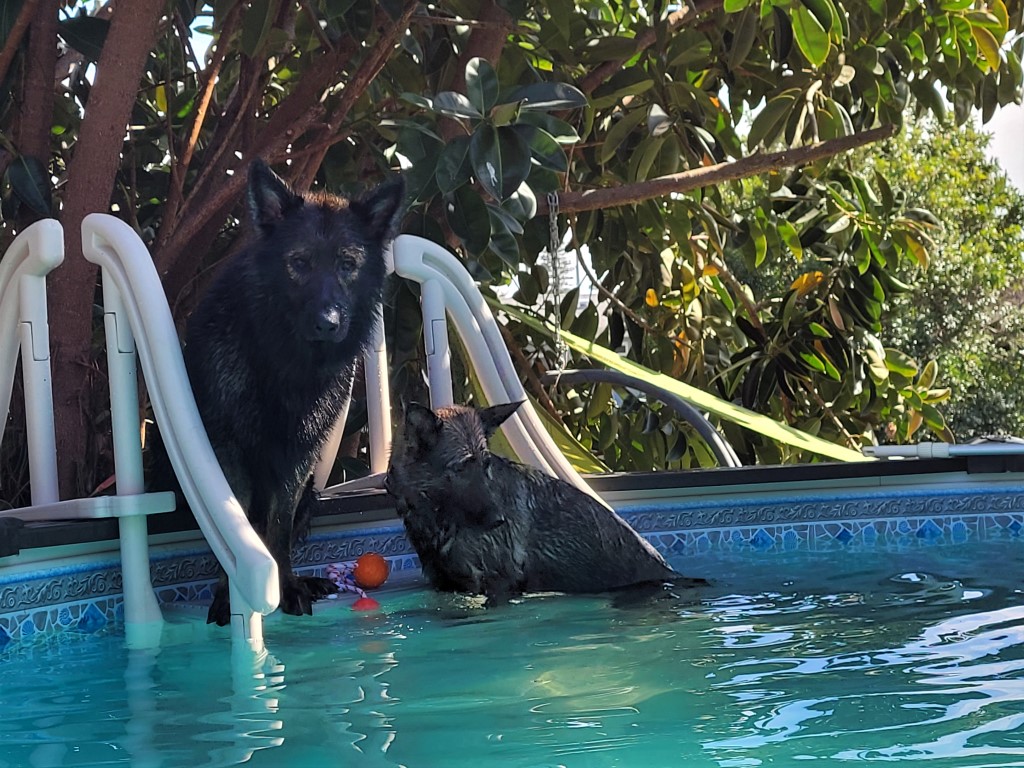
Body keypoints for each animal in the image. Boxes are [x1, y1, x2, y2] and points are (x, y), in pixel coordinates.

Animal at [385, 403, 704, 606]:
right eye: (462, 467)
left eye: (485, 464)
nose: (499, 521)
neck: (438, 515)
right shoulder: (445, 583)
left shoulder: (497, 582)